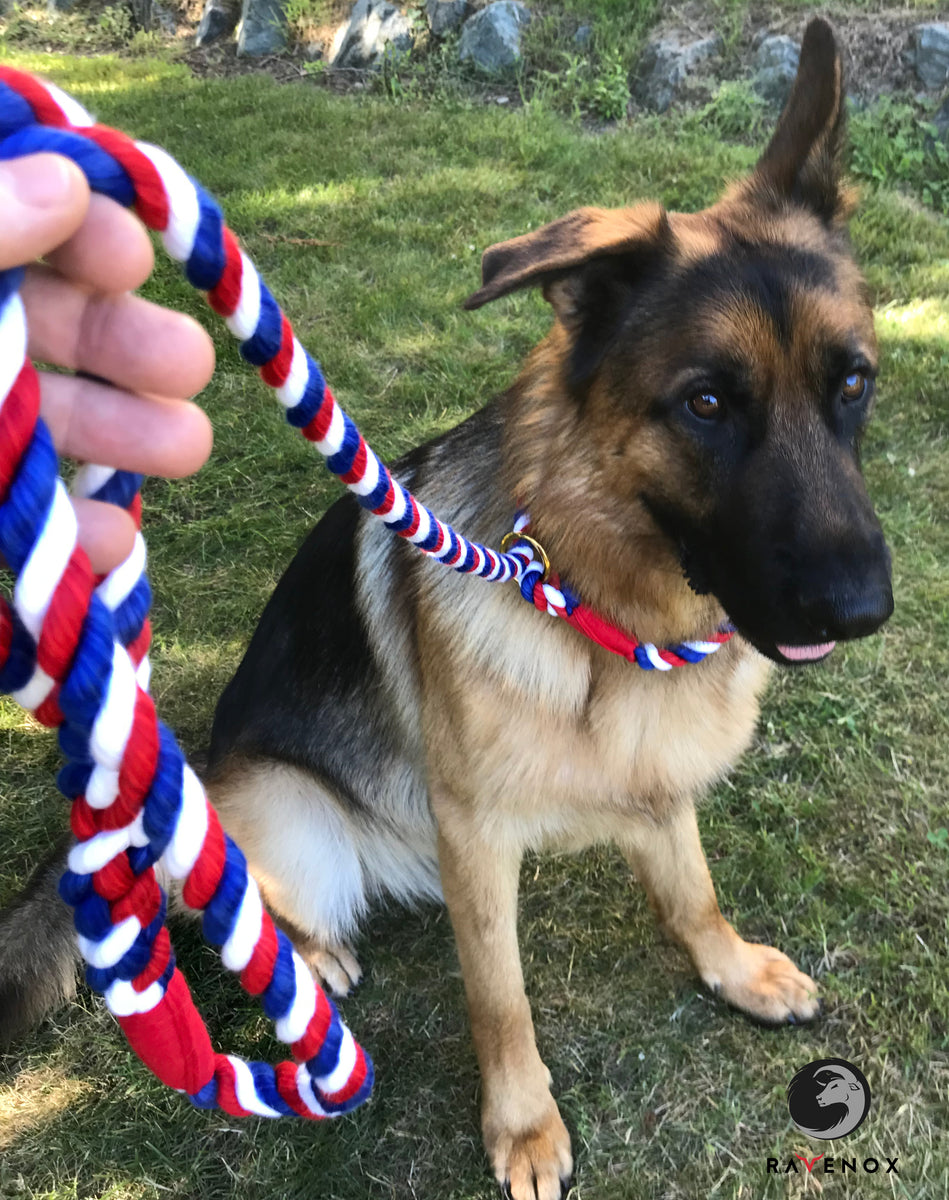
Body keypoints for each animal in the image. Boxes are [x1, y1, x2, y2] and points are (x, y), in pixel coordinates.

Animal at [0, 18, 892, 1200]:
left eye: (853, 384)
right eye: (705, 403)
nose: (864, 610)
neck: (599, 609)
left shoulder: (655, 789)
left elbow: (690, 890)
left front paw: (731, 966)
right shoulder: (476, 834)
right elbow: (499, 998)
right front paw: (522, 1126)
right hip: (289, 813)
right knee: (231, 902)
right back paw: (315, 955)